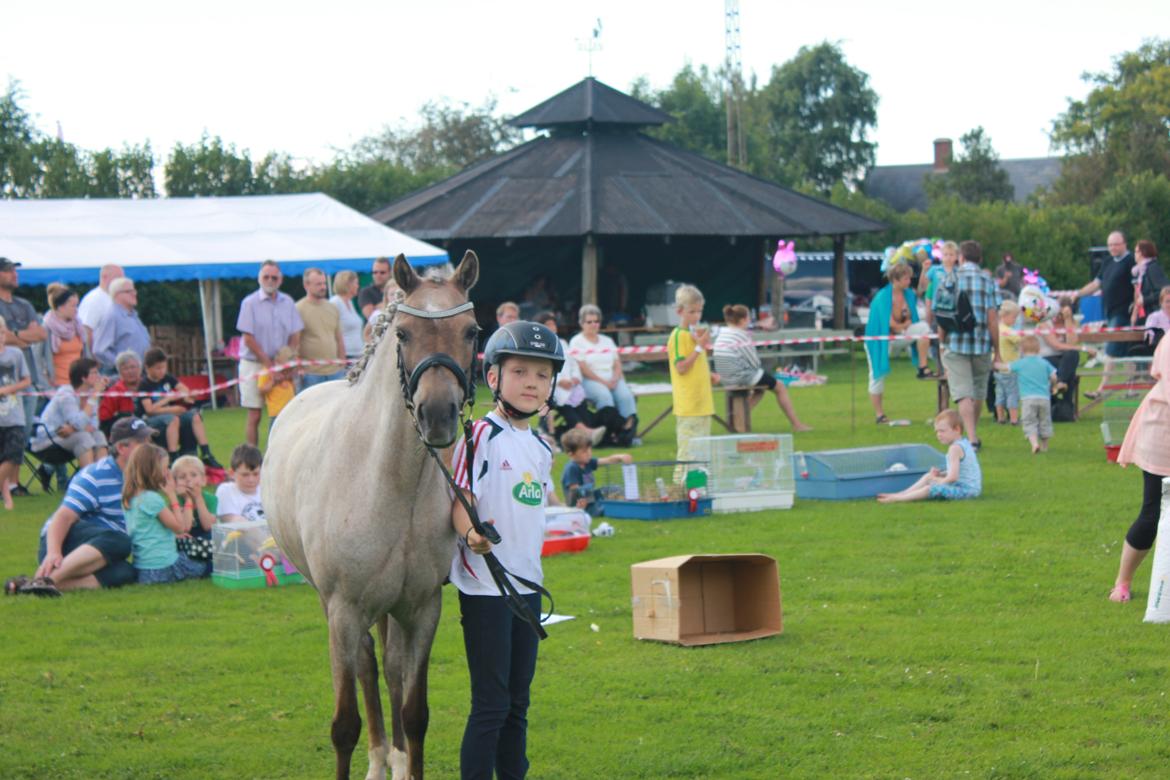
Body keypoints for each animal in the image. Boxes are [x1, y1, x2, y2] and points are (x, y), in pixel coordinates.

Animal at [265, 251, 480, 780]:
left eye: (471, 331)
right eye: (402, 333)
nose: (437, 415)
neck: (388, 481)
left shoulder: (422, 609)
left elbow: (415, 711)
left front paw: (409, 757)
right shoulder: (343, 611)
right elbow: (345, 724)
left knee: (390, 665)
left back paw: (395, 758)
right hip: (336, 607)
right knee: (365, 665)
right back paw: (380, 760)